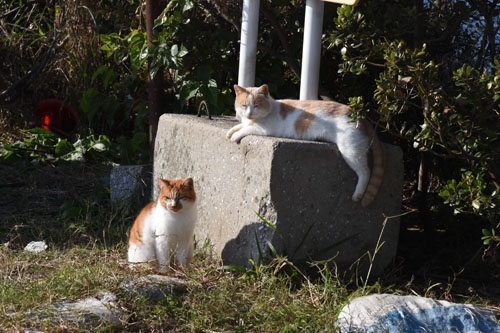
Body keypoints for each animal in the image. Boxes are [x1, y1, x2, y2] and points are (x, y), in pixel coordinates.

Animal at [227, 84, 386, 206]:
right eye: (244, 106)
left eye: (256, 105)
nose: (249, 114)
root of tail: (361, 116)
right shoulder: (248, 122)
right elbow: (240, 126)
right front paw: (231, 131)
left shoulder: (263, 130)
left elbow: (246, 129)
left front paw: (235, 135)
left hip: (351, 151)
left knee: (365, 171)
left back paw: (358, 194)